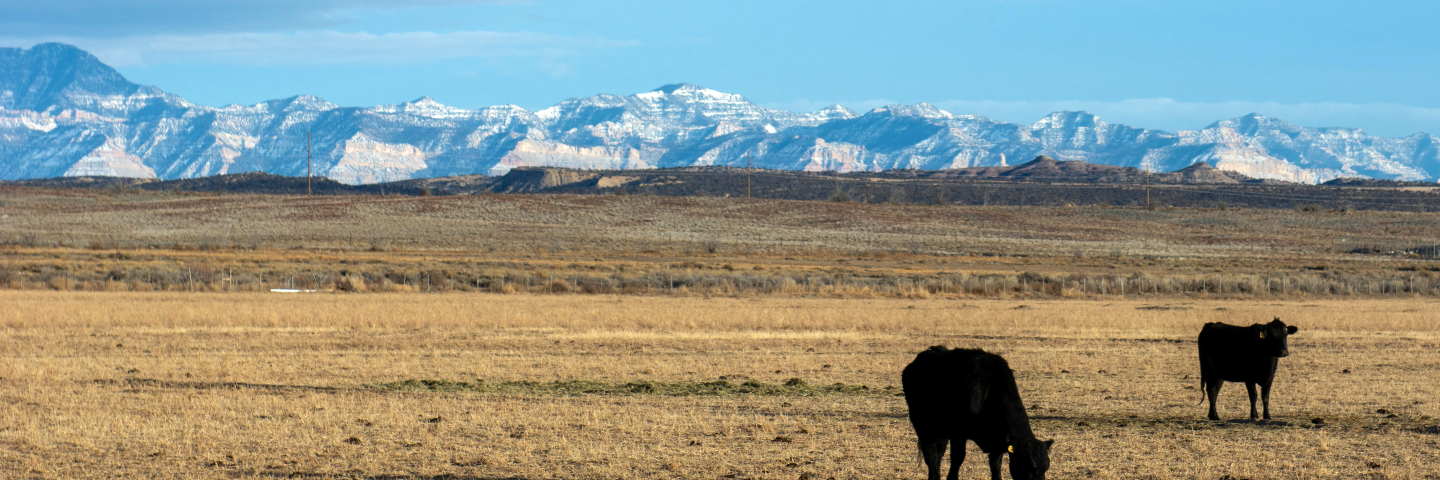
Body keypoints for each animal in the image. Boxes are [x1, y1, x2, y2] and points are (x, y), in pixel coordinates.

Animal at [904, 344, 1054, 478]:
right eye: (1029, 466)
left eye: (1046, 467)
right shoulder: (959, 434)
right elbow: (957, 459)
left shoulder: (997, 442)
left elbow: (996, 465)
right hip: (923, 427)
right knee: (930, 456)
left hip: (941, 432)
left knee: (938, 456)